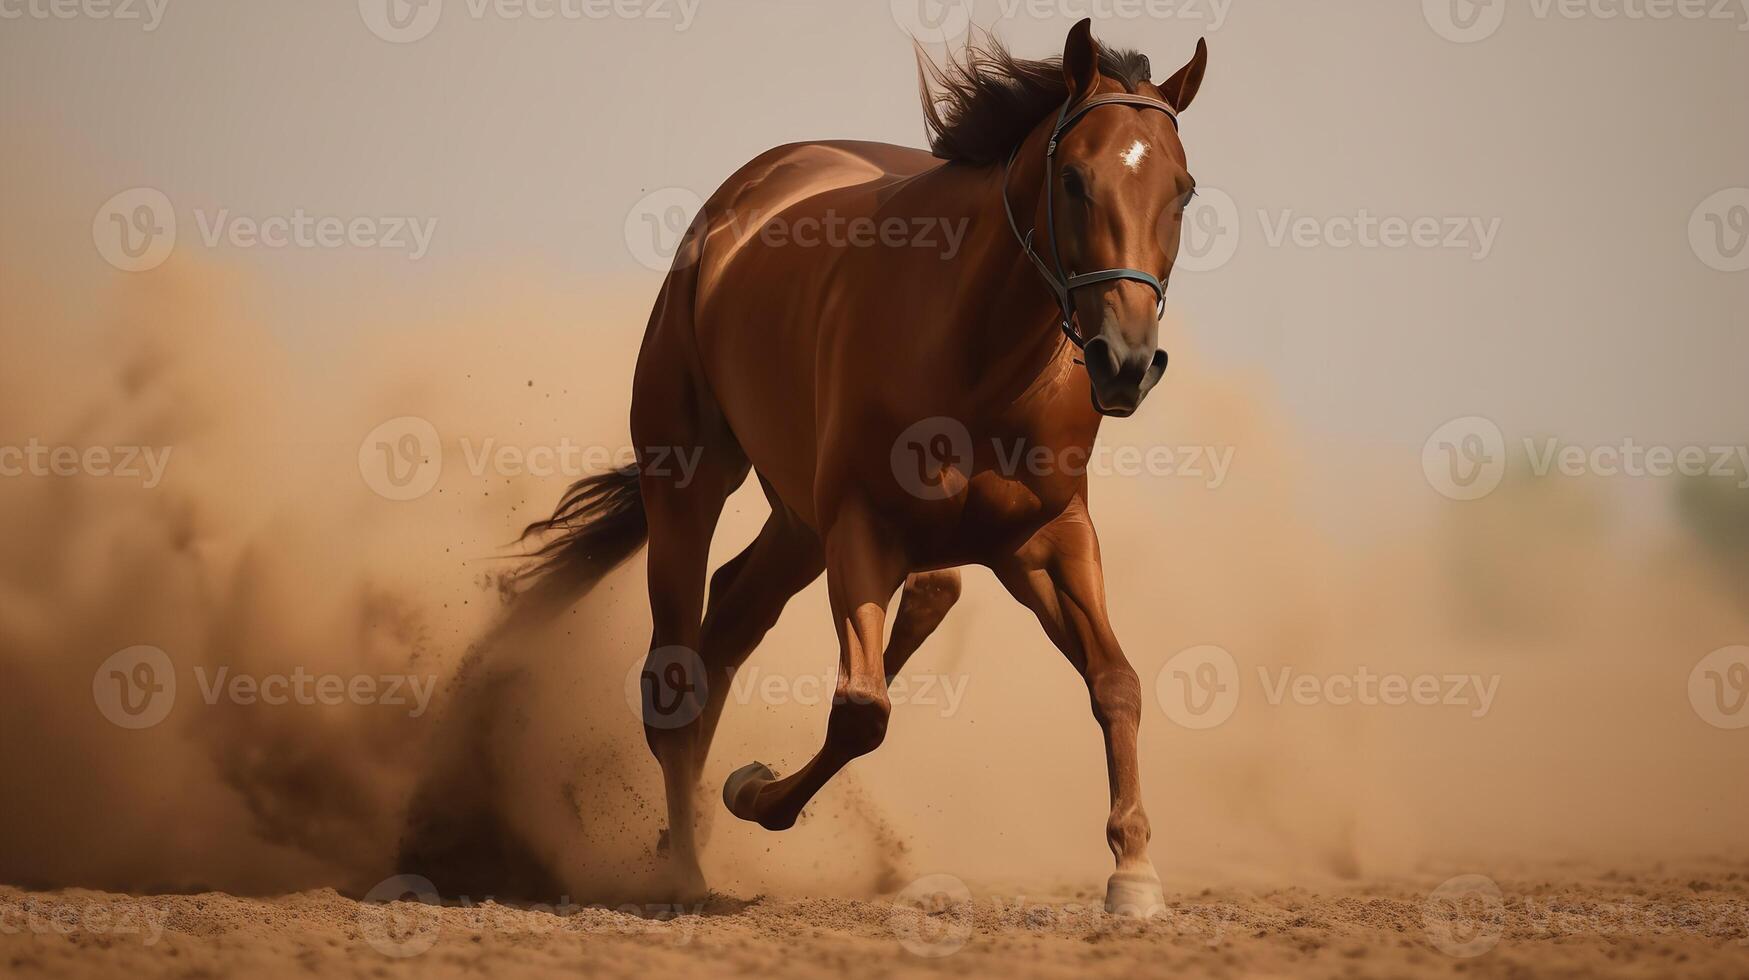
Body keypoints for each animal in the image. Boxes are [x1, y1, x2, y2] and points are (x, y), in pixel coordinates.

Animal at [514, 19, 1203, 917]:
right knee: (677, 676)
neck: (975, 352)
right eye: (1074, 178)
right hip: (693, 479)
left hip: (798, 523)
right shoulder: (862, 529)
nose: (1125, 362)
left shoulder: (1048, 538)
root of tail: (746, 191)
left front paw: (1134, 874)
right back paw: (686, 870)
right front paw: (751, 789)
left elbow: (1114, 681)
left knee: (732, 618)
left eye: (1182, 190)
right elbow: (861, 712)